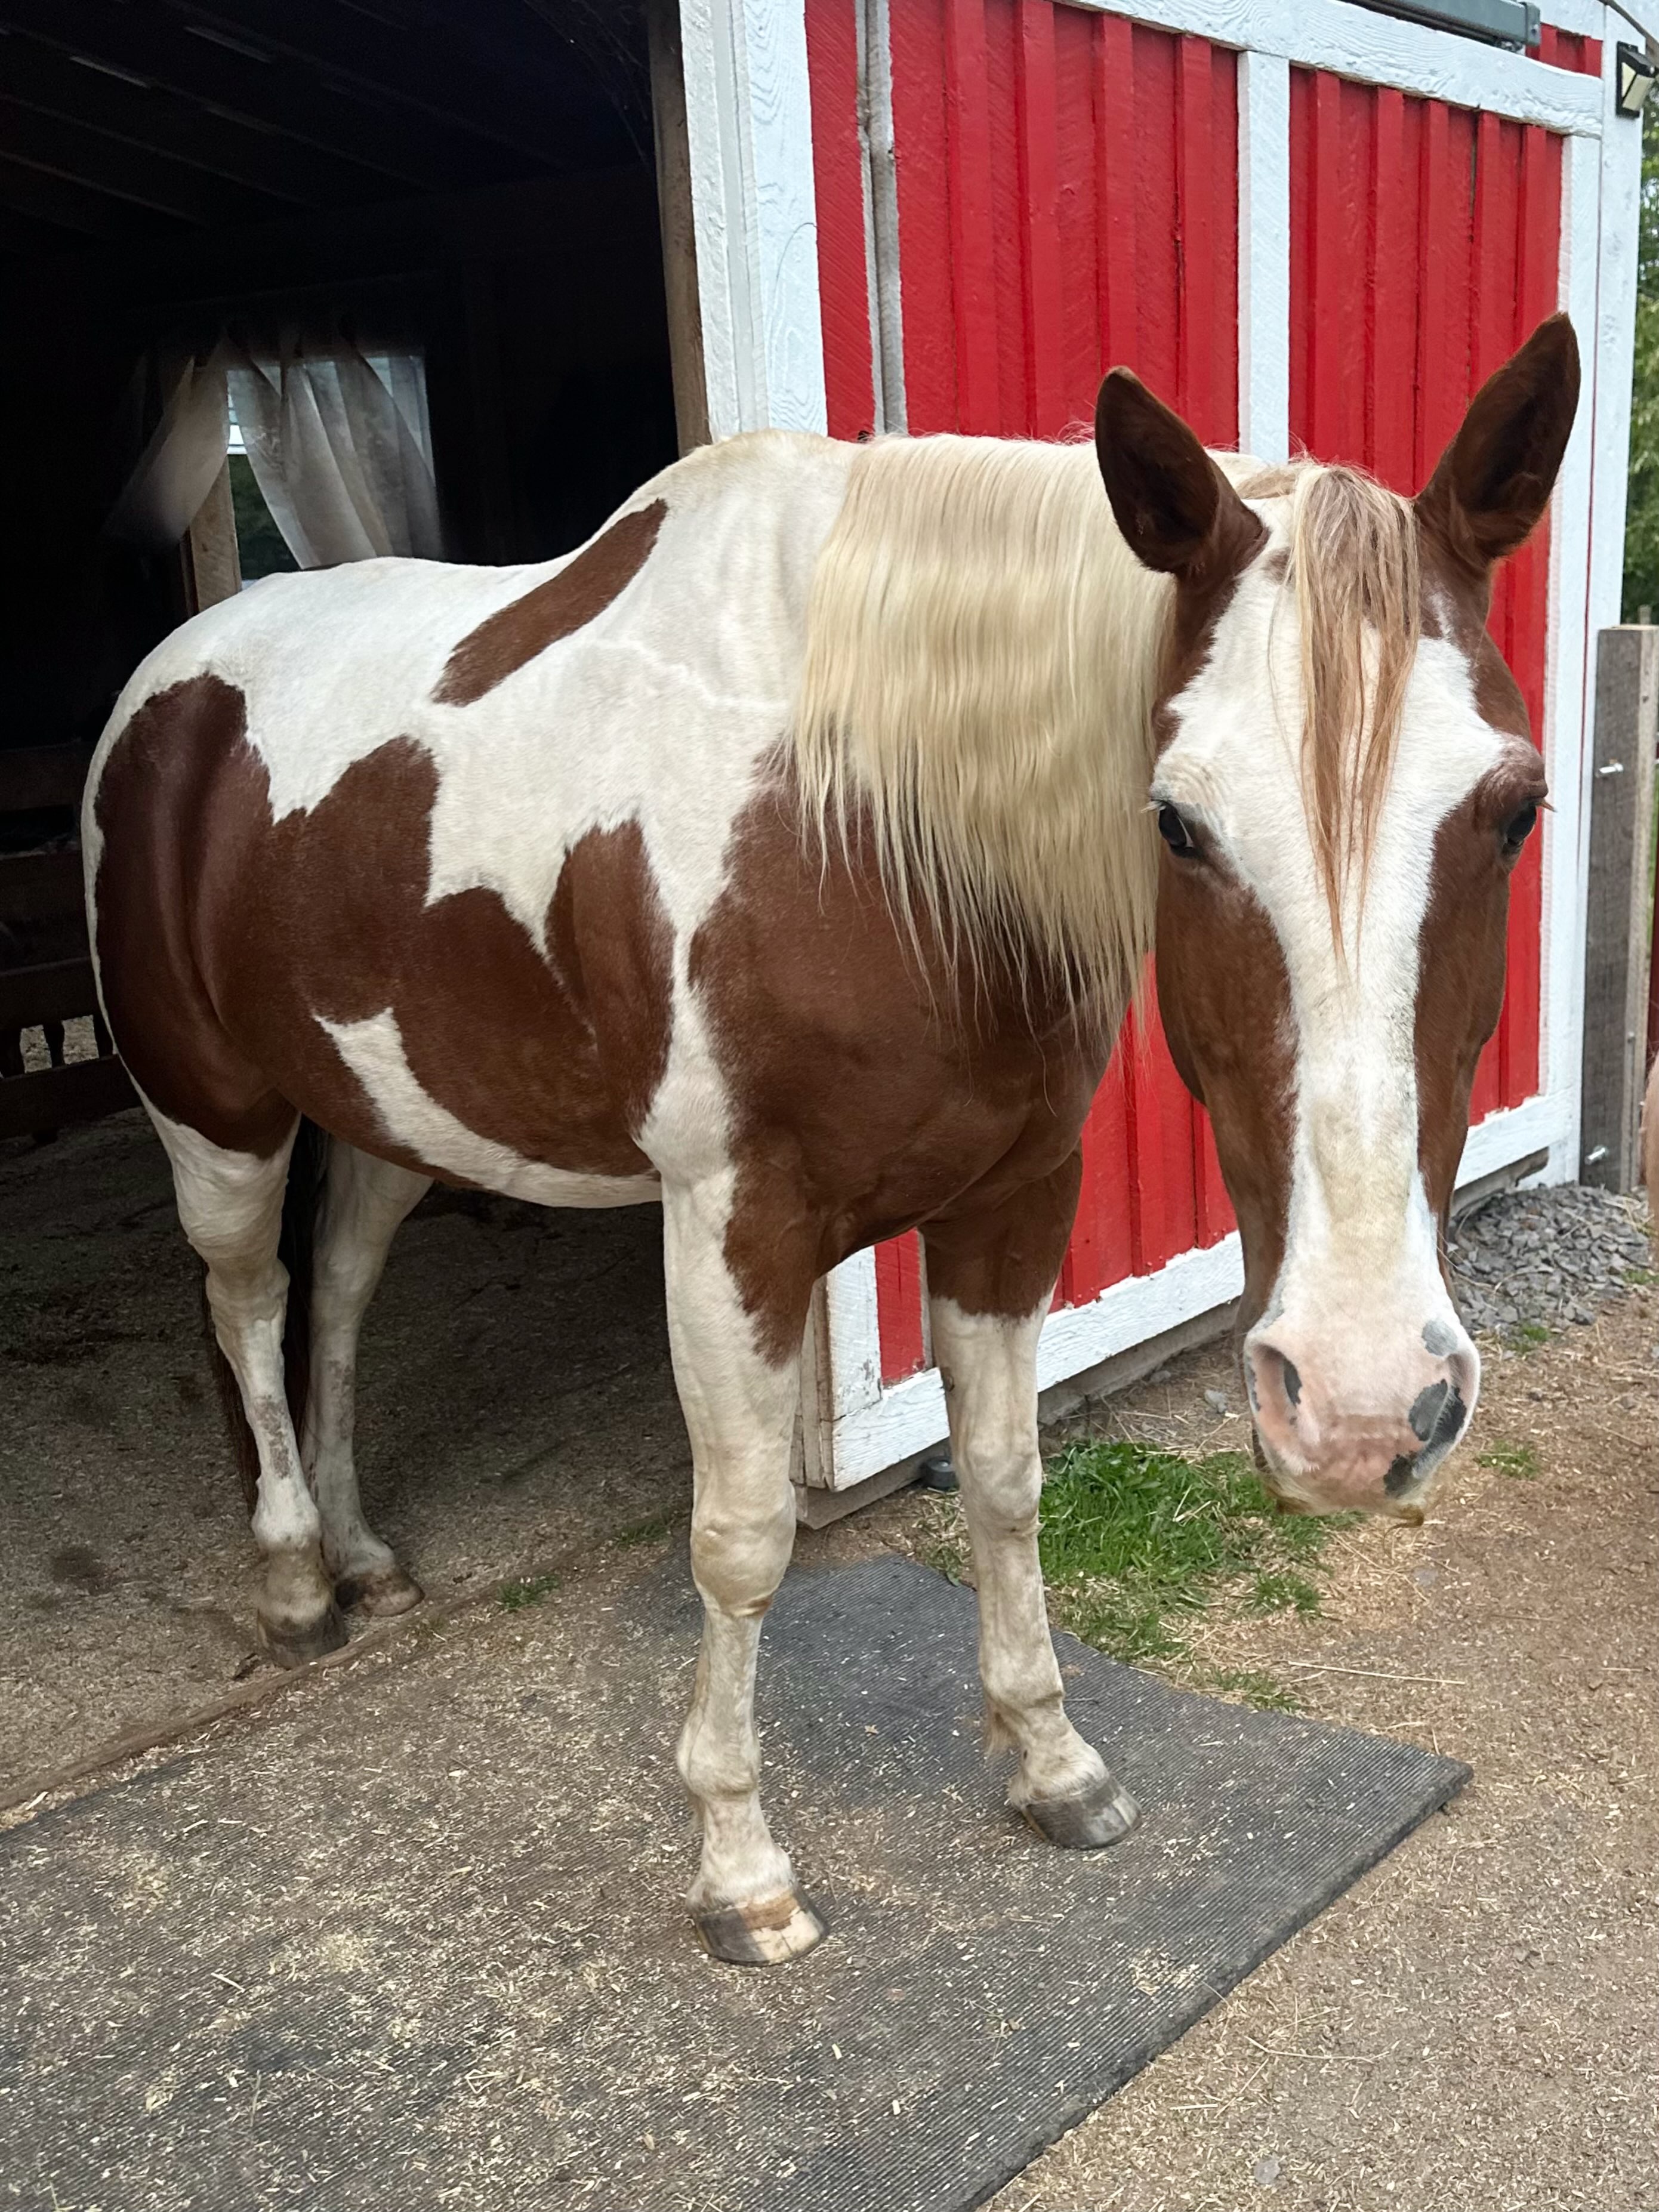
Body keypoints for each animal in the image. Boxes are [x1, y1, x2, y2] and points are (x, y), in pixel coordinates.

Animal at [84, 313, 1577, 1965]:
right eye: (1175, 820)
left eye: (1515, 806)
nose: (1362, 1410)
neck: (858, 821)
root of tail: (176, 682)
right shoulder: (735, 1228)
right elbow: (741, 1540)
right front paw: (741, 1868)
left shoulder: (1016, 1196)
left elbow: (1003, 1477)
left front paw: (1052, 1762)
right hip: (215, 1116)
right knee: (248, 1298)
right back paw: (294, 1576)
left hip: (391, 1111)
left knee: (338, 1294)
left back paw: (358, 1549)